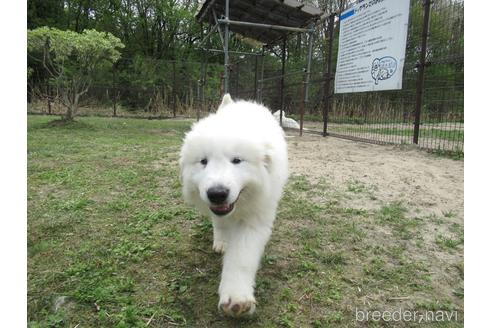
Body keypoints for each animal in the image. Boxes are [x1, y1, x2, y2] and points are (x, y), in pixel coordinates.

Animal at [180, 93, 288, 316]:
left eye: (237, 160)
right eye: (203, 161)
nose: (217, 194)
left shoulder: (255, 218)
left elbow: (241, 257)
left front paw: (237, 298)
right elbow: (221, 224)